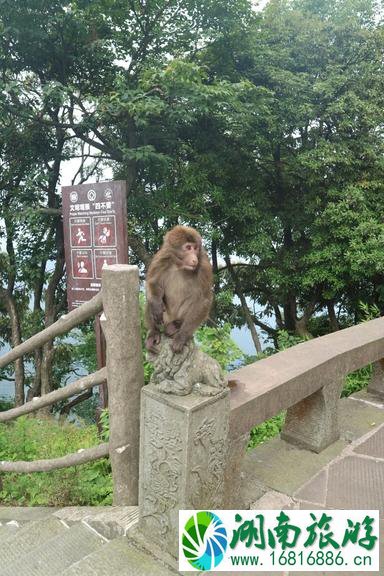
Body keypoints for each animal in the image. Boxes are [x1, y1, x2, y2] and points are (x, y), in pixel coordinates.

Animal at [146, 224, 214, 352]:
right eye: (188, 247)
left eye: (195, 248)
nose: (194, 258)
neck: (180, 265)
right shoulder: (162, 256)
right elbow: (153, 282)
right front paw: (156, 305)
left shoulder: (204, 265)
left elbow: (203, 299)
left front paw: (181, 337)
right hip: (165, 318)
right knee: (150, 298)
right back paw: (154, 333)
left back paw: (176, 326)